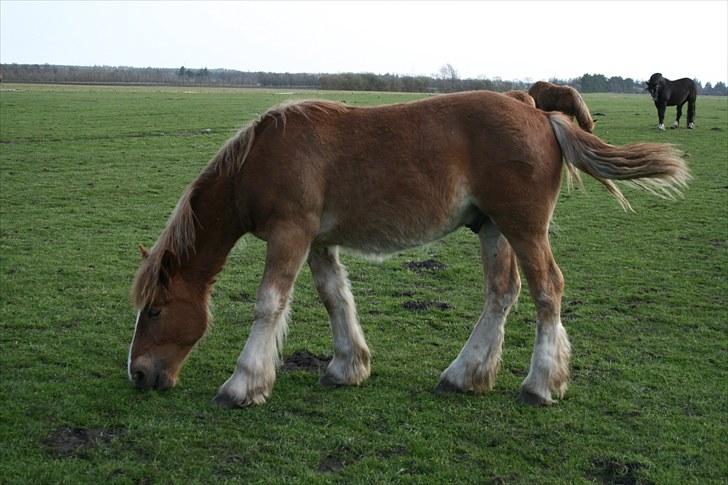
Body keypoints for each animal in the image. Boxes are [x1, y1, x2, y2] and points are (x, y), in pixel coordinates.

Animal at [128, 91, 692, 408]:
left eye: (154, 310)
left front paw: (242, 386)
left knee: (546, 291)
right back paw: (465, 376)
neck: (262, 157)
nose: (138, 374)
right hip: (492, 228)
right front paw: (347, 367)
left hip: (524, 227)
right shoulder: (319, 242)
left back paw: (539, 386)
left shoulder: (291, 234)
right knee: (501, 294)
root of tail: (541, 116)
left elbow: (269, 305)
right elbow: (335, 299)